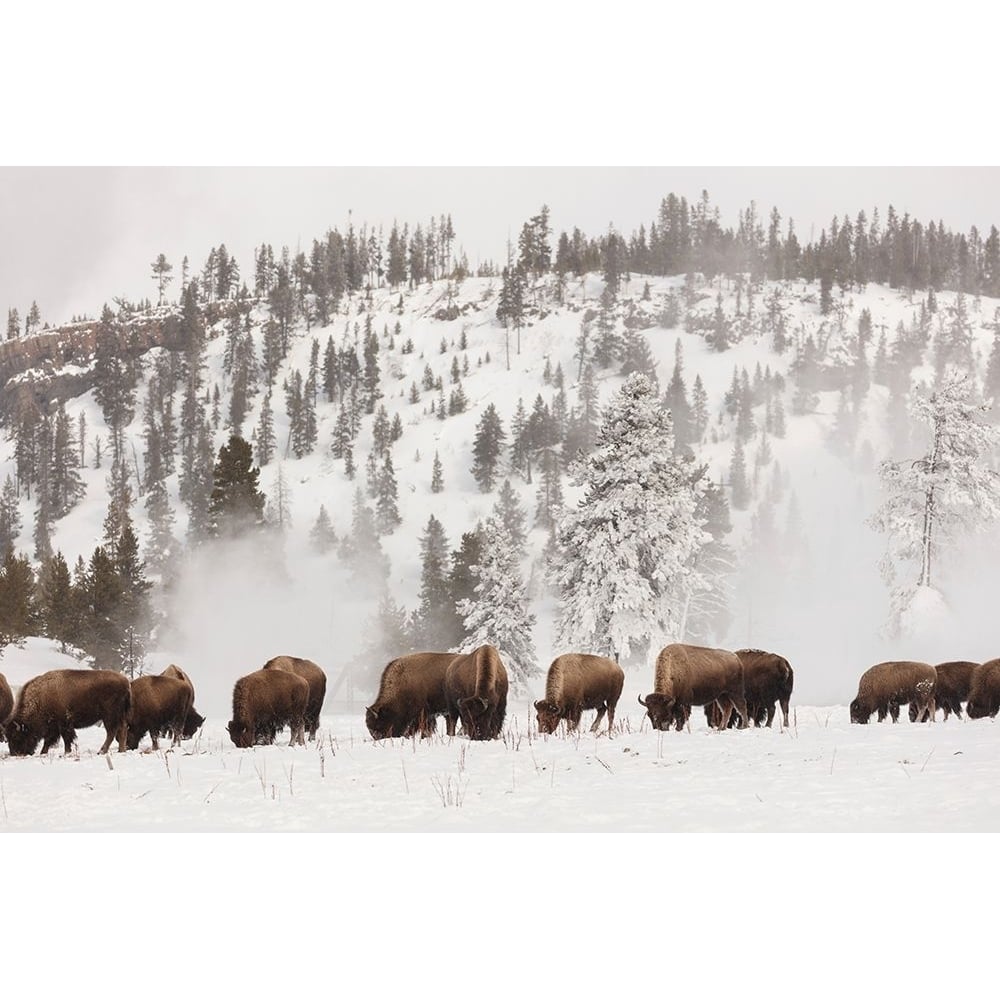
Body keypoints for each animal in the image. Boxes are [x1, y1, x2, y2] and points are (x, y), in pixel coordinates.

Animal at [2, 668, 133, 752]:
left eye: (16, 736)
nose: (15, 753)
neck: (41, 698)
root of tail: (126, 682)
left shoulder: (63, 723)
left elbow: (66, 738)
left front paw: (66, 752)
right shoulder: (54, 726)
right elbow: (49, 740)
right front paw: (43, 752)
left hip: (109, 716)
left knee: (111, 732)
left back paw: (102, 751)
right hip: (118, 716)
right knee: (122, 729)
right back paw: (121, 750)